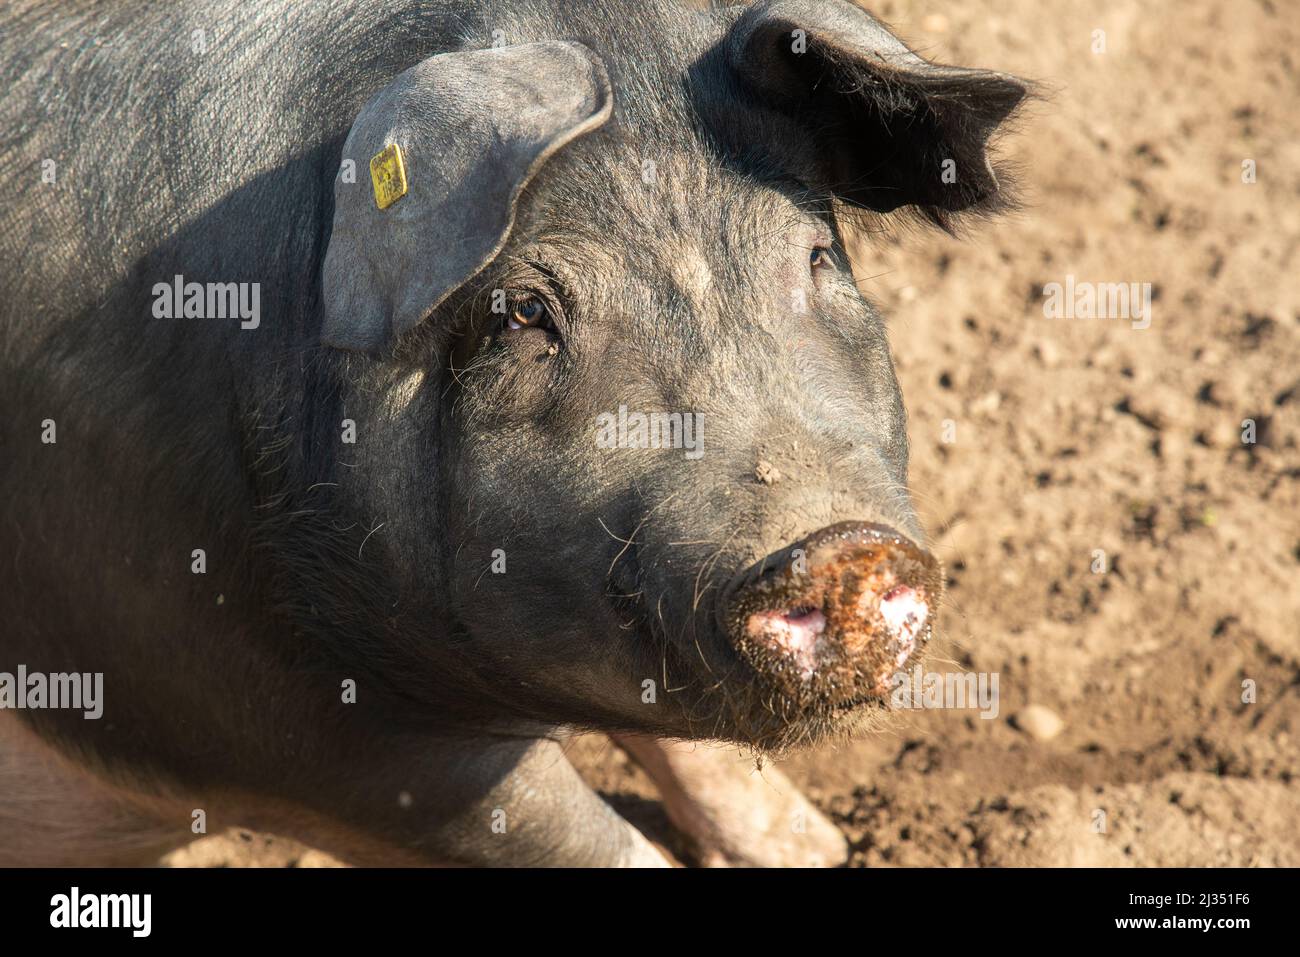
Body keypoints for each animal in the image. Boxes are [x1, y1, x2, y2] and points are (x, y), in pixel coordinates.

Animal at [0, 0, 1019, 868]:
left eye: (815, 255)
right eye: (524, 310)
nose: (840, 545)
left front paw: (819, 850)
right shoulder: (260, 710)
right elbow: (569, 832)